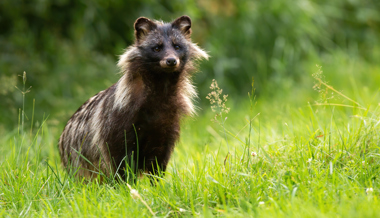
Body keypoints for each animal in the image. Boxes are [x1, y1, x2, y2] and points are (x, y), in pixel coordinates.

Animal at [58, 15, 209, 181]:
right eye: (157, 48)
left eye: (177, 46)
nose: (171, 61)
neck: (161, 86)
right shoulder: (118, 120)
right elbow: (119, 160)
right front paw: (124, 184)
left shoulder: (167, 125)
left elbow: (158, 161)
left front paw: (158, 183)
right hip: (77, 159)